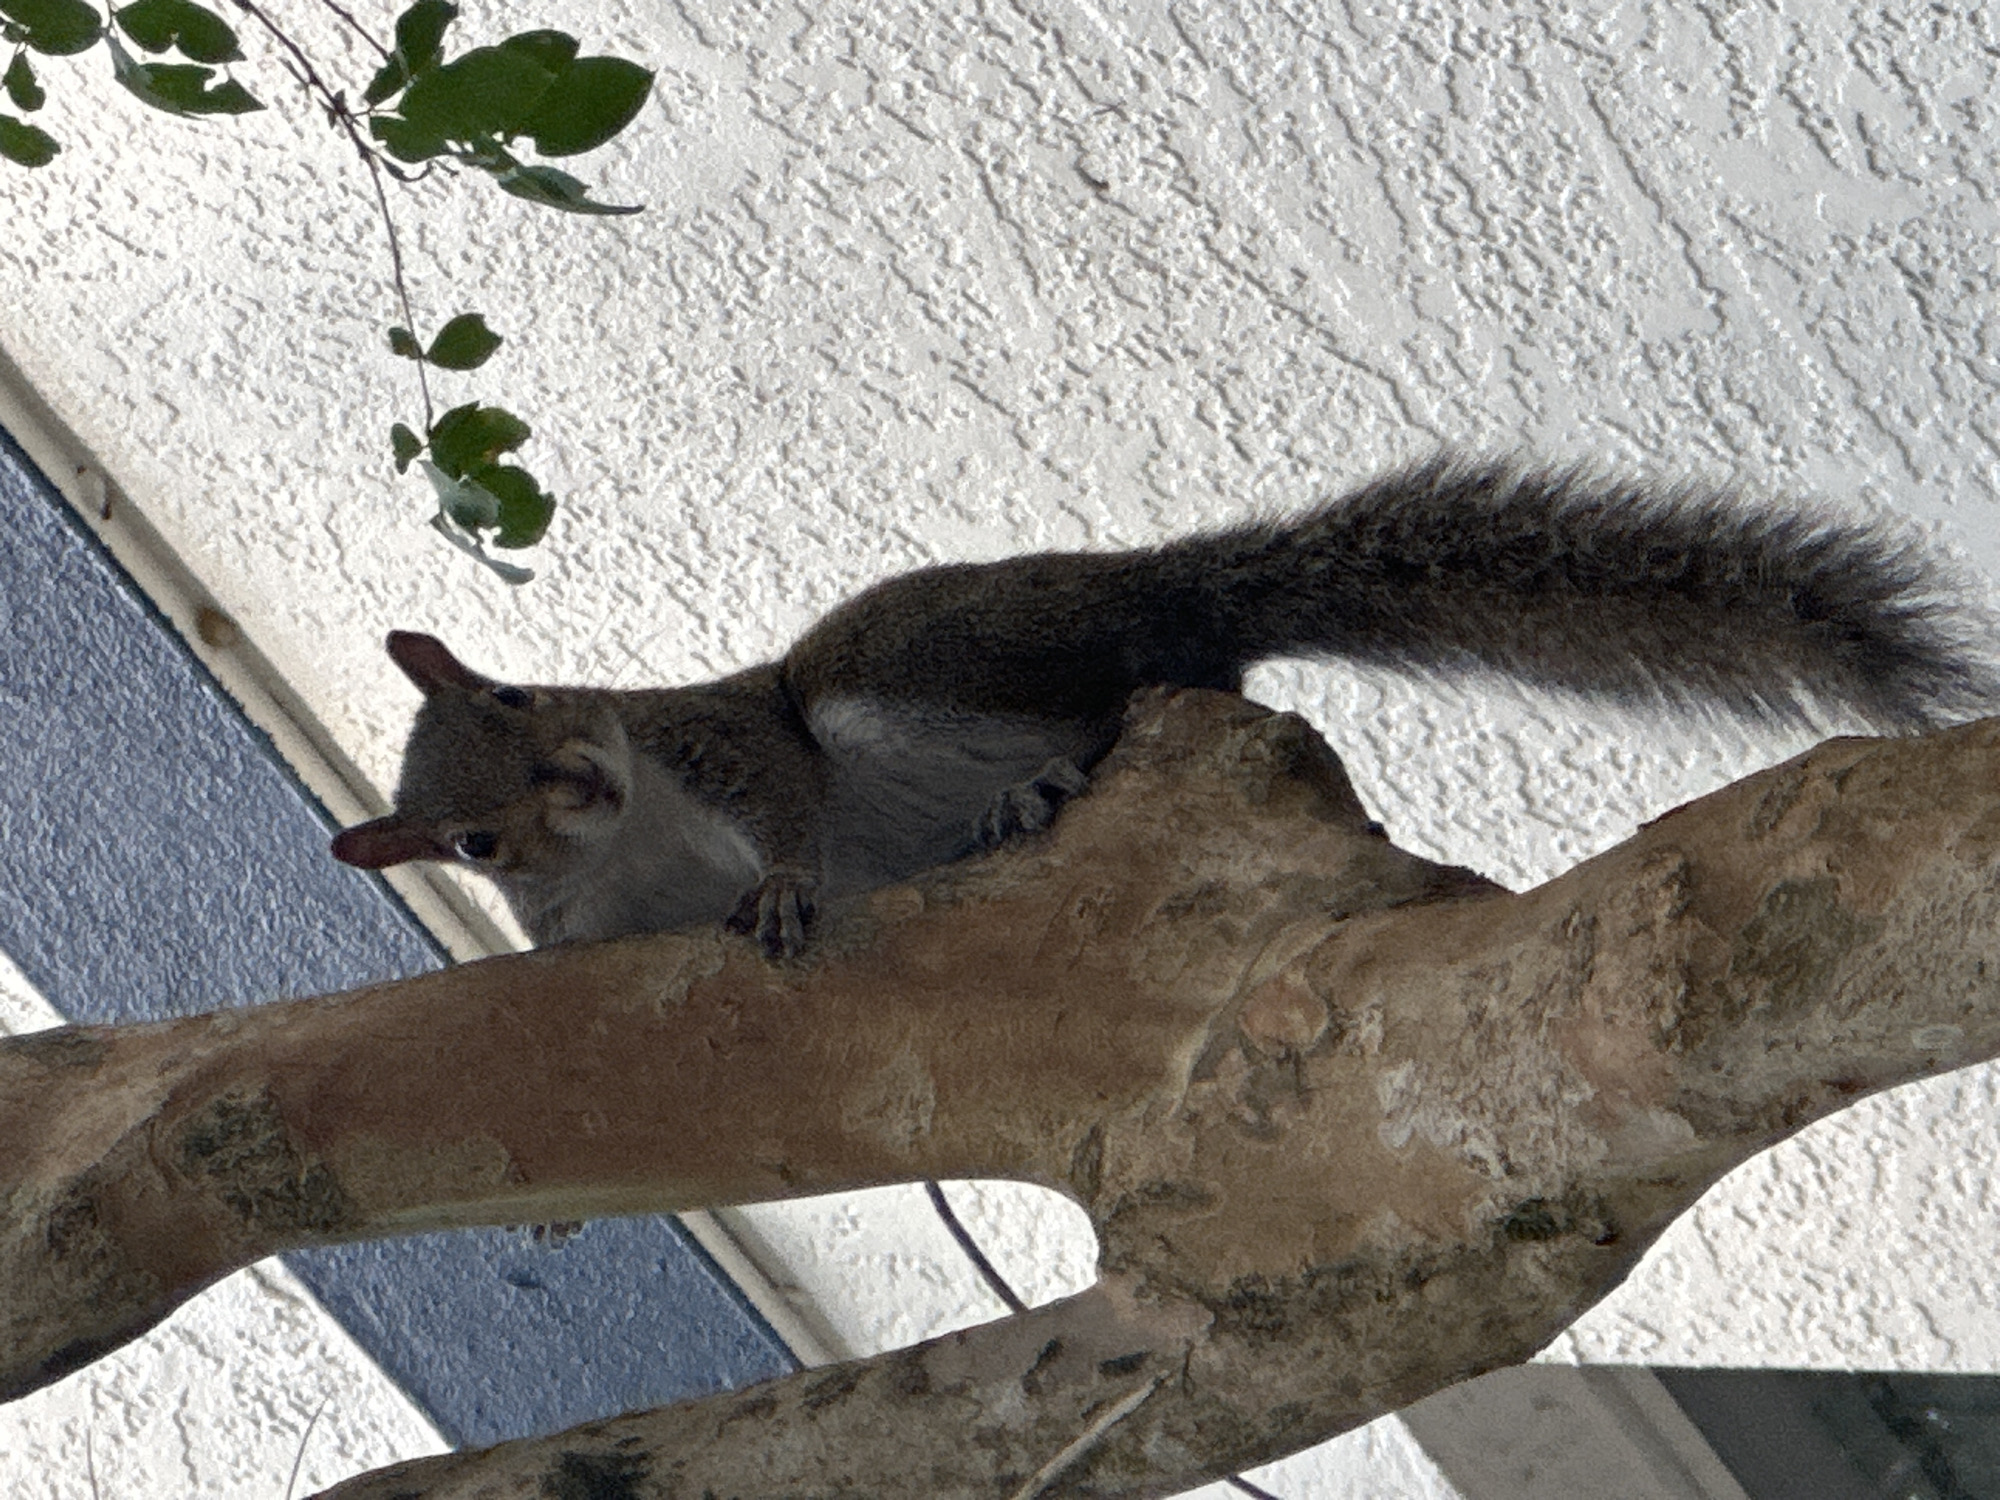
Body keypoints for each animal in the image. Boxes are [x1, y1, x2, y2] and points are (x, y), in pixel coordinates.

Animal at [332, 455, 1997, 957]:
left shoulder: (717, 733)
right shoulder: (578, 942)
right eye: (469, 843)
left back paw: (1042, 783)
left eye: (523, 688)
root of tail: (1176, 580)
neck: (638, 846)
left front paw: (795, 885)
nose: (582, 783)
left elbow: (786, 804)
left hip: (909, 672)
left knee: (1147, 686)